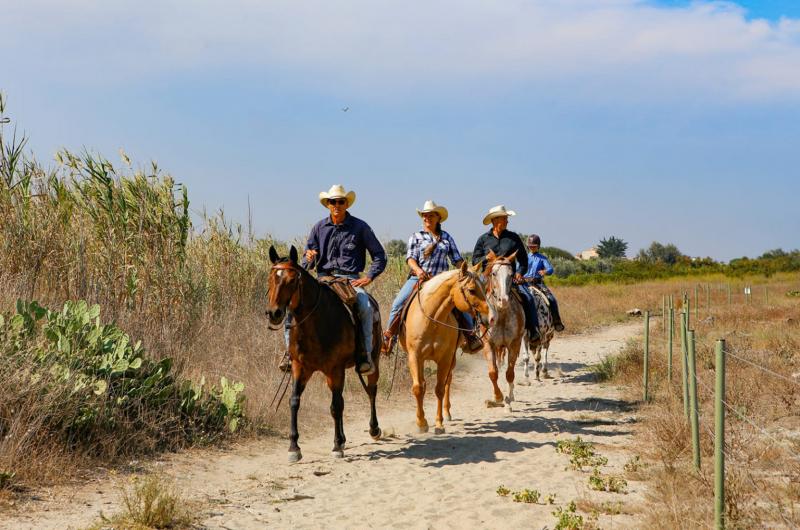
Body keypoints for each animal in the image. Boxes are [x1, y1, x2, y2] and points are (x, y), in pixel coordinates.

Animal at [266, 245, 384, 460]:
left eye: (292, 280)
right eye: (271, 278)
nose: (274, 313)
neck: (317, 322)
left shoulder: (335, 369)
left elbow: (336, 406)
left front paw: (336, 446)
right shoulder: (300, 367)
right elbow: (294, 401)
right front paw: (294, 447)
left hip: (374, 360)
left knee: (371, 390)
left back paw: (374, 429)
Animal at [400, 260, 494, 434]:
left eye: (485, 288)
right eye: (471, 290)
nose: (490, 318)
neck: (432, 320)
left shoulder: (445, 358)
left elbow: (439, 389)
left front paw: (439, 423)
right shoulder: (415, 356)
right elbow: (418, 388)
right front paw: (421, 423)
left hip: (452, 357)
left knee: (448, 380)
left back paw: (447, 413)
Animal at [482, 249, 524, 408]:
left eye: (511, 274)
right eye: (494, 273)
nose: (503, 300)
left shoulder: (514, 344)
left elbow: (509, 373)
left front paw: (508, 398)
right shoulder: (488, 344)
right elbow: (493, 373)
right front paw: (497, 397)